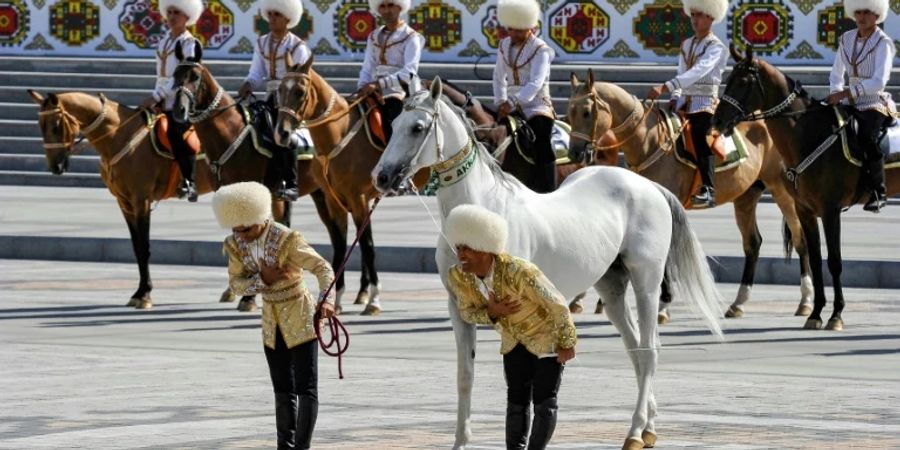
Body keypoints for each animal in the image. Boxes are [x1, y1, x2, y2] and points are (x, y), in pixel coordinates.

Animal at [27, 90, 214, 312]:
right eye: (40, 125)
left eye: (56, 126)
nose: (55, 166)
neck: (120, 136)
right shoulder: (124, 203)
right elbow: (136, 247)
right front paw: (139, 292)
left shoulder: (141, 200)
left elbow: (144, 247)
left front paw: (145, 295)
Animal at [372, 78, 724, 450]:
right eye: (393, 124)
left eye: (417, 127)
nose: (381, 177)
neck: (478, 217)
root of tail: (648, 185)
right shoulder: (459, 307)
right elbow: (465, 376)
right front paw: (460, 442)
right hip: (612, 287)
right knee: (635, 351)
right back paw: (649, 428)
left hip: (647, 283)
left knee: (649, 350)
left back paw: (635, 433)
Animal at [712, 45, 896, 330]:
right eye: (728, 78)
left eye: (742, 81)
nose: (718, 120)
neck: (809, 134)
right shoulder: (805, 210)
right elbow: (816, 258)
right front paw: (816, 313)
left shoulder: (831, 210)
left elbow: (834, 261)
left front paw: (836, 315)